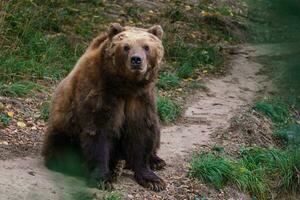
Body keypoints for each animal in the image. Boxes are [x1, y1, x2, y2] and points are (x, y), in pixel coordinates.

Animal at [42, 23, 168, 192]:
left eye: (146, 47)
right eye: (126, 46)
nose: (136, 60)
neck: (125, 85)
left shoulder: (141, 98)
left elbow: (142, 130)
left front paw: (153, 180)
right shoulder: (100, 91)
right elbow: (98, 131)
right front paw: (102, 178)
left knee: (156, 131)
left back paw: (155, 160)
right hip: (63, 131)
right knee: (63, 152)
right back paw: (114, 167)